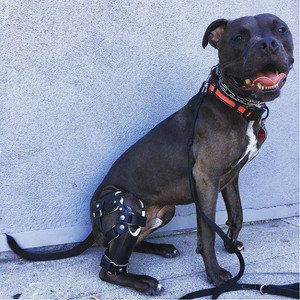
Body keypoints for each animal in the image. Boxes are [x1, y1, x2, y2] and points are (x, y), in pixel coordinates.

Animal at [6, 13, 292, 296]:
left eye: (281, 30)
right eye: (238, 37)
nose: (268, 44)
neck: (236, 105)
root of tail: (93, 227)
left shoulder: (230, 177)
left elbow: (237, 214)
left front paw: (231, 245)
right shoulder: (206, 178)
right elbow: (208, 232)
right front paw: (215, 274)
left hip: (166, 211)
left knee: (131, 243)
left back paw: (161, 248)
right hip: (127, 205)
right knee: (109, 266)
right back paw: (143, 281)